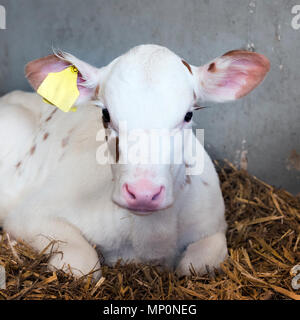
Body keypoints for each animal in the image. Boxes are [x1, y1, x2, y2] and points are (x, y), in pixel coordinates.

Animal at [0, 44, 270, 278]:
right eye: (105, 114)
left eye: (188, 115)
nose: (143, 193)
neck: (148, 239)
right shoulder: (30, 214)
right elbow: (83, 265)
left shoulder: (213, 224)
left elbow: (199, 263)